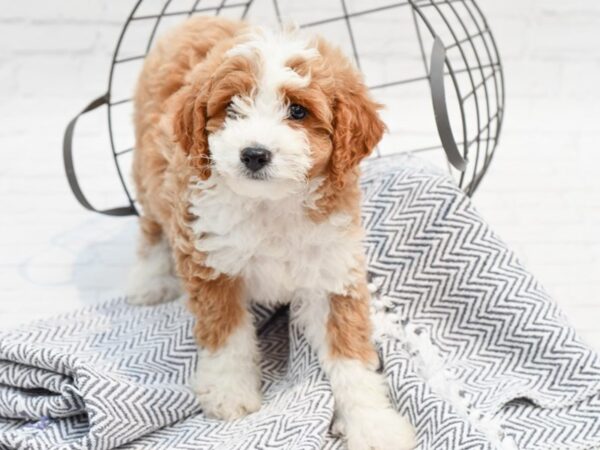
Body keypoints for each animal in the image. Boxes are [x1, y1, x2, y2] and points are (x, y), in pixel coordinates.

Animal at [127, 16, 418, 450]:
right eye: (232, 107)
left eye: (298, 111)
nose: (254, 154)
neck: (271, 204)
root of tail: (195, 20)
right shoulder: (210, 260)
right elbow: (227, 333)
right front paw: (229, 392)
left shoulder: (333, 273)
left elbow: (350, 356)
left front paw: (372, 423)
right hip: (150, 174)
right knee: (151, 228)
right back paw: (148, 281)